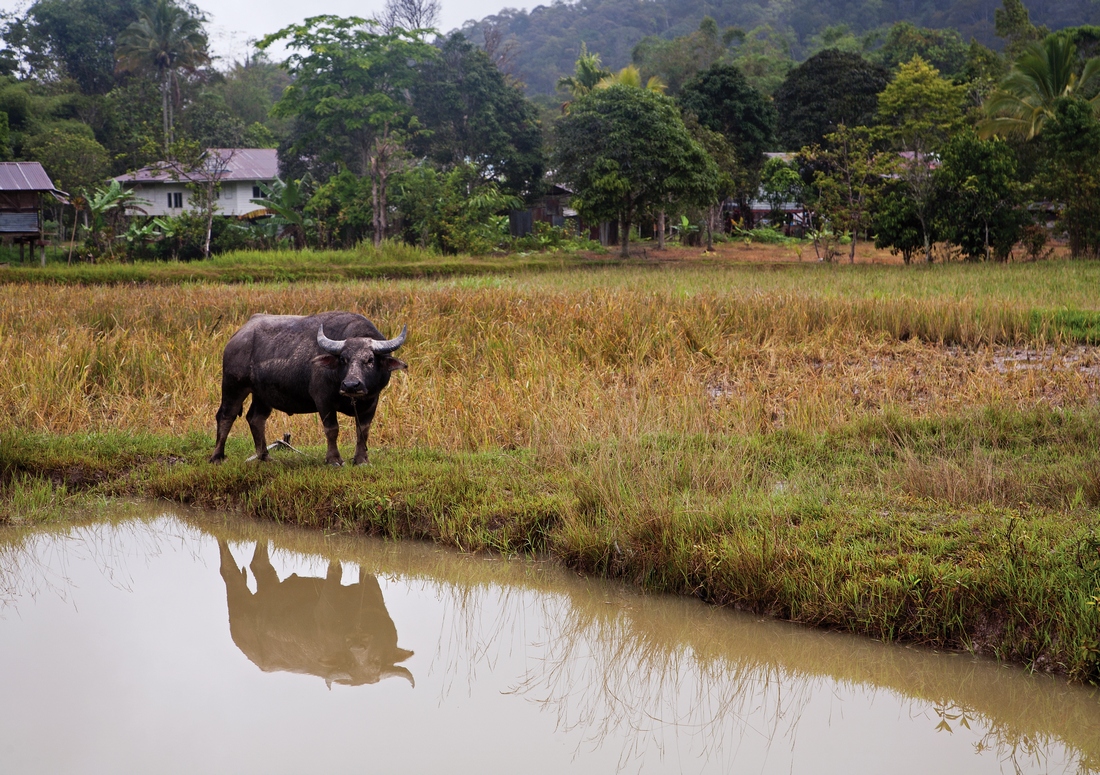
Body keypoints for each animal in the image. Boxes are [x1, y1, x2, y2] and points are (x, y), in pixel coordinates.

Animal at [207, 310, 407, 466]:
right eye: (344, 359)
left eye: (370, 360)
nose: (351, 385)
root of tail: (238, 336)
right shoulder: (323, 400)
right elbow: (332, 429)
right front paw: (334, 460)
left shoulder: (372, 401)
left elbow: (363, 430)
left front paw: (361, 460)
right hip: (233, 385)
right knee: (226, 415)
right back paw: (217, 457)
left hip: (263, 394)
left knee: (256, 418)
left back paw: (265, 456)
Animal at [216, 540, 413, 685]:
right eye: (350, 663)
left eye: (377, 661)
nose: (357, 646)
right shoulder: (328, 597)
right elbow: (336, 568)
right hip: (238, 600)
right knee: (228, 571)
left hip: (267, 583)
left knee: (259, 564)